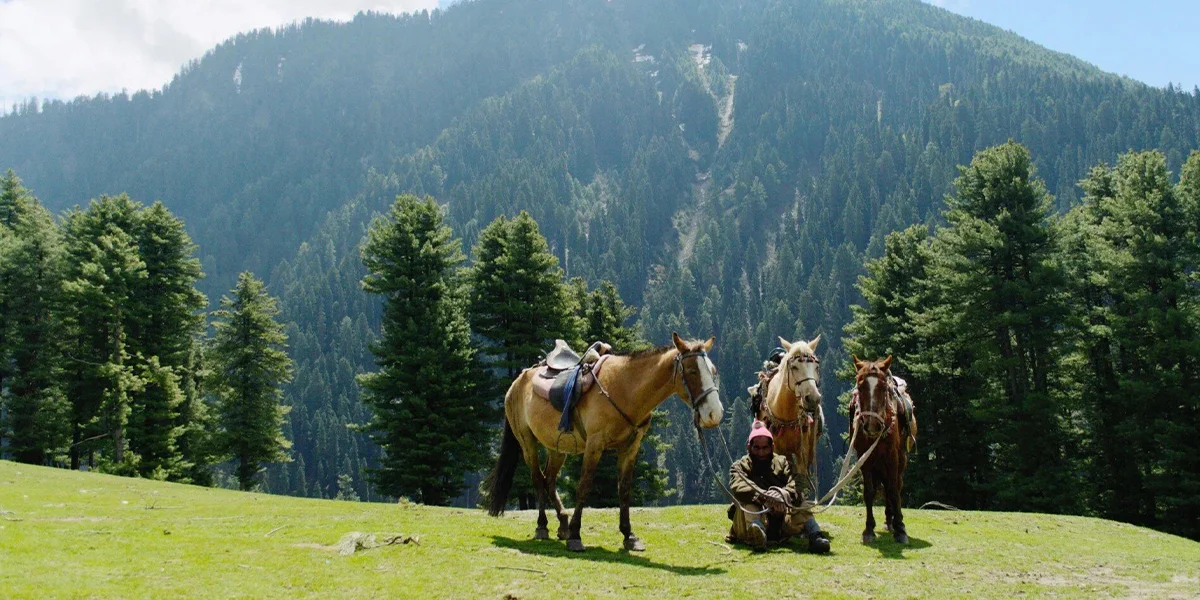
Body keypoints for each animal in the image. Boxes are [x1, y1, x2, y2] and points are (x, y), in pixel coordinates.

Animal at [485, 333, 724, 552]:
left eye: (713, 371)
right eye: (692, 371)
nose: (715, 414)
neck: (625, 389)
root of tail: (519, 380)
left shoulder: (630, 448)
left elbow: (624, 490)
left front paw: (629, 535)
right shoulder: (594, 445)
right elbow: (583, 486)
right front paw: (575, 535)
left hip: (558, 447)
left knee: (549, 480)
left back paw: (562, 523)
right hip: (527, 442)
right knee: (537, 479)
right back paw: (543, 527)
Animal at [756, 336, 824, 490]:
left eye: (816, 367)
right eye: (794, 367)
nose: (813, 399)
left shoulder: (803, 449)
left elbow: (801, 477)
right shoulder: (778, 449)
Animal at [850, 355, 917, 545]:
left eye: (882, 388)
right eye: (860, 387)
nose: (871, 425)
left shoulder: (892, 456)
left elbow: (893, 491)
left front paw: (900, 528)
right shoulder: (865, 457)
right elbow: (869, 492)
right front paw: (868, 529)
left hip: (901, 459)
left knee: (895, 485)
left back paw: (893, 521)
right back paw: (888, 520)